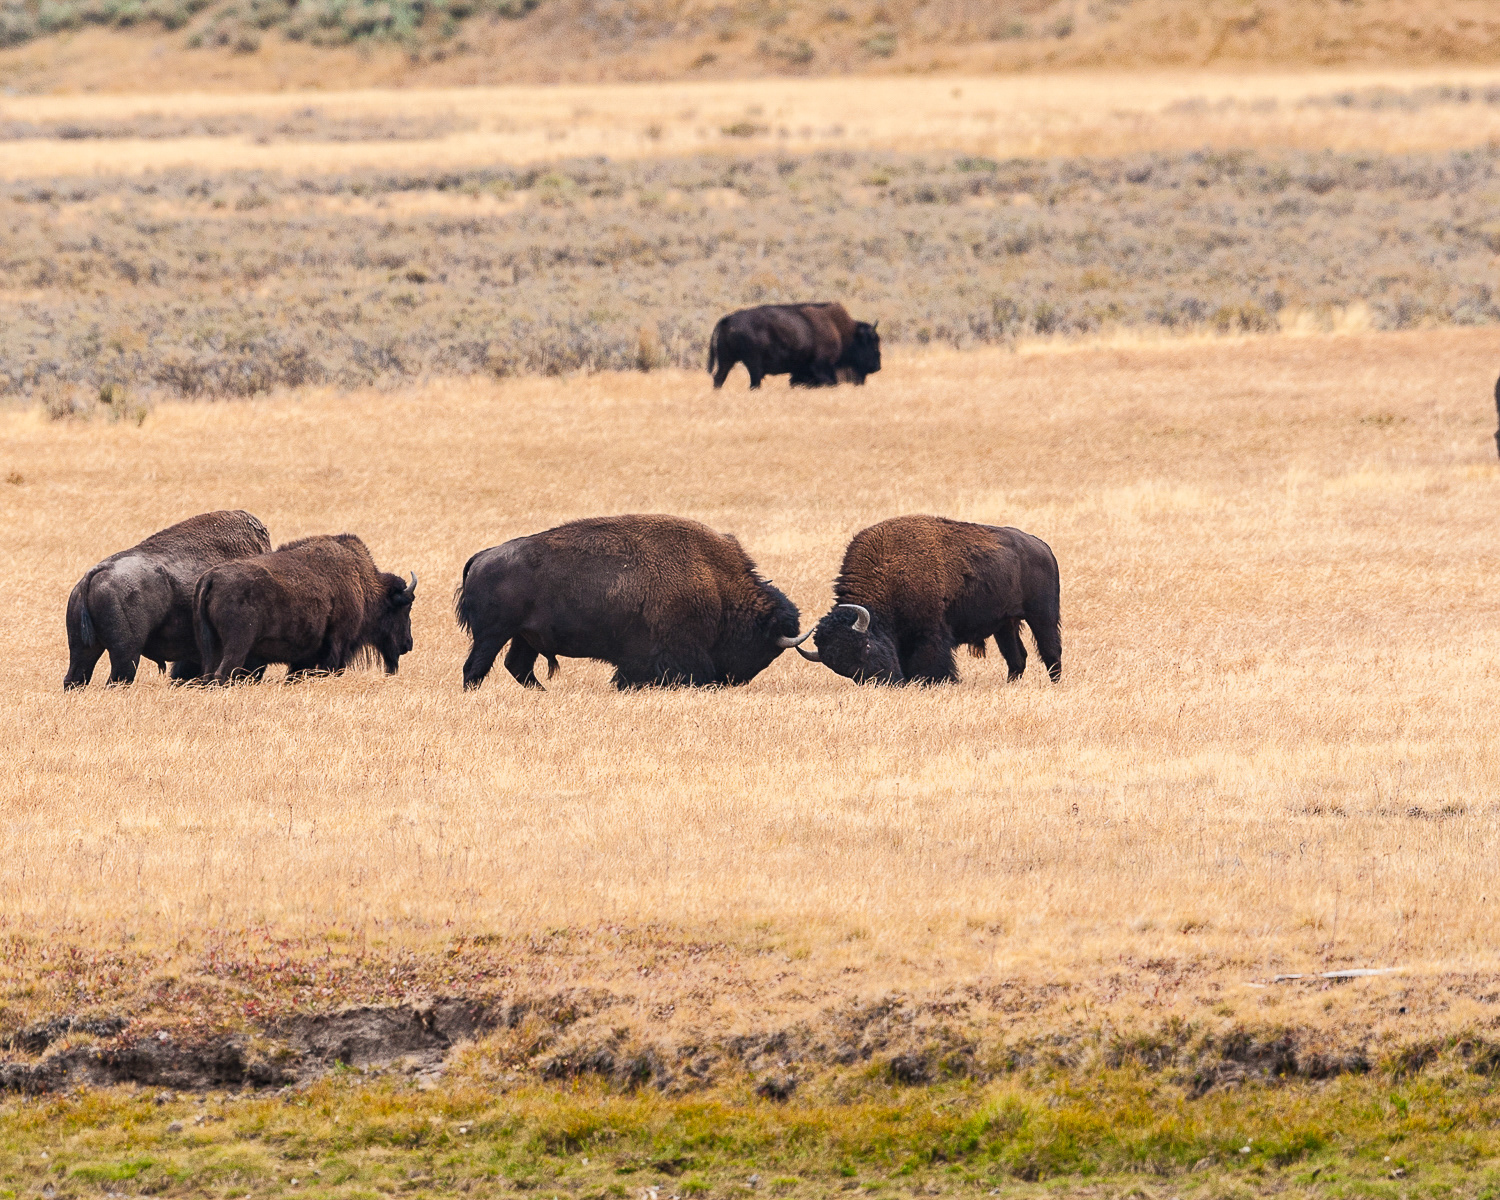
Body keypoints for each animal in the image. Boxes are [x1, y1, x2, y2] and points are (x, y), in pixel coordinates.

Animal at [194, 534, 416, 684]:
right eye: (405, 608)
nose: (408, 643)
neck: (363, 585)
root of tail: (211, 577)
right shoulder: (337, 647)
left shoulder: (303, 659)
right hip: (237, 647)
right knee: (223, 674)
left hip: (210, 646)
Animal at [455, 514, 807, 690]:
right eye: (764, 647)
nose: (733, 681)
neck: (718, 584)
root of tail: (483, 556)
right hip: (494, 635)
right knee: (475, 668)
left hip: (523, 637)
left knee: (518, 668)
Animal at [708, 302, 880, 389]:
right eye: (871, 342)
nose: (877, 366)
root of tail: (727, 319)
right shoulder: (821, 367)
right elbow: (831, 383)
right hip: (752, 364)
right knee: (753, 382)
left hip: (727, 360)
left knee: (719, 378)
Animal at [798, 515, 1061, 686]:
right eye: (841, 668)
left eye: (867, 646)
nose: (885, 682)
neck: (888, 572)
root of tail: (1041, 546)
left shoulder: (930, 632)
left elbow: (933, 659)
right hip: (1005, 624)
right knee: (1017, 658)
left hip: (1042, 615)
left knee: (1051, 650)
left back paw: (1055, 683)